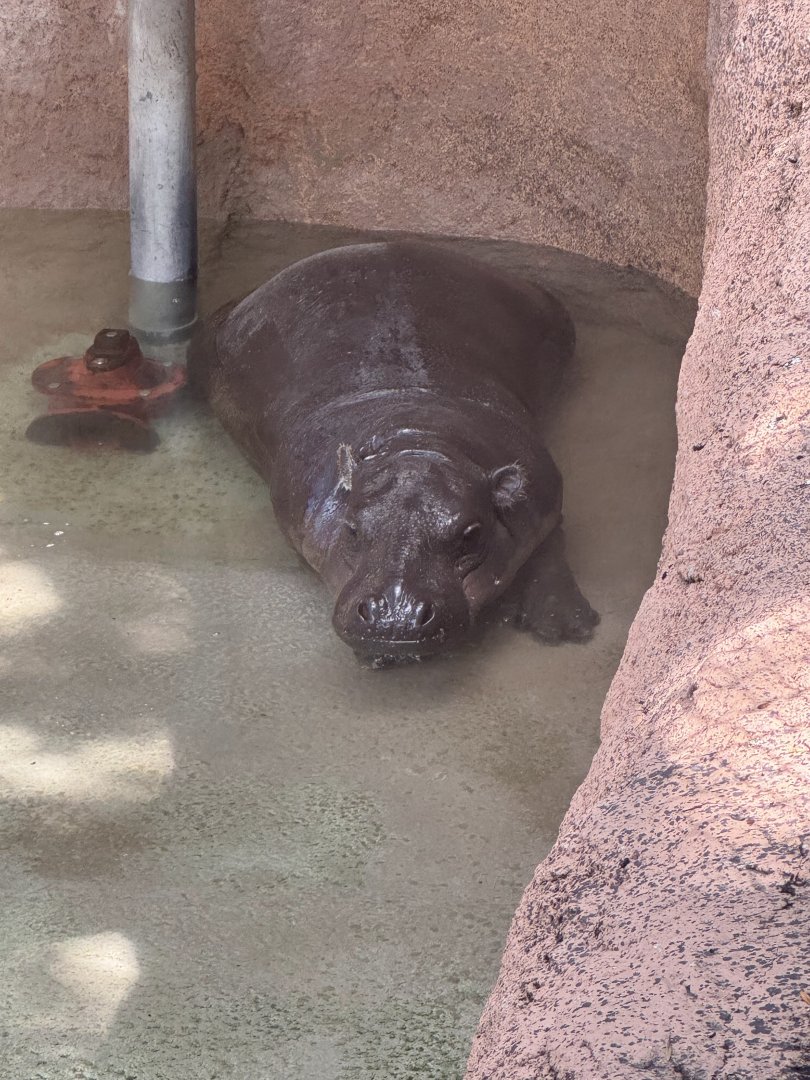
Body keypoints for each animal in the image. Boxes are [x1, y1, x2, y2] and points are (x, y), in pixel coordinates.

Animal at [188, 241, 598, 666]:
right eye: (352, 528)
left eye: (471, 534)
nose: (394, 615)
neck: (419, 438)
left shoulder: (542, 493)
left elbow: (551, 544)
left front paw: (563, 624)